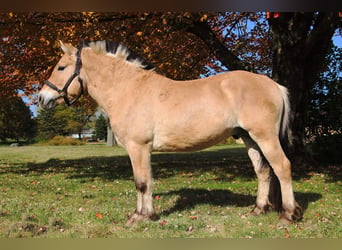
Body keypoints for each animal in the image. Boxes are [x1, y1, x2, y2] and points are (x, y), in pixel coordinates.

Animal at [38, 40, 304, 226]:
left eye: (61, 67)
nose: (42, 98)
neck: (128, 89)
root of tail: (273, 85)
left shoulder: (138, 147)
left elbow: (142, 182)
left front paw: (141, 217)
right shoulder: (141, 150)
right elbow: (144, 181)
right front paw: (144, 214)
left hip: (265, 137)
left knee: (282, 167)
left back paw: (289, 214)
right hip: (249, 138)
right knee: (263, 172)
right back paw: (258, 209)